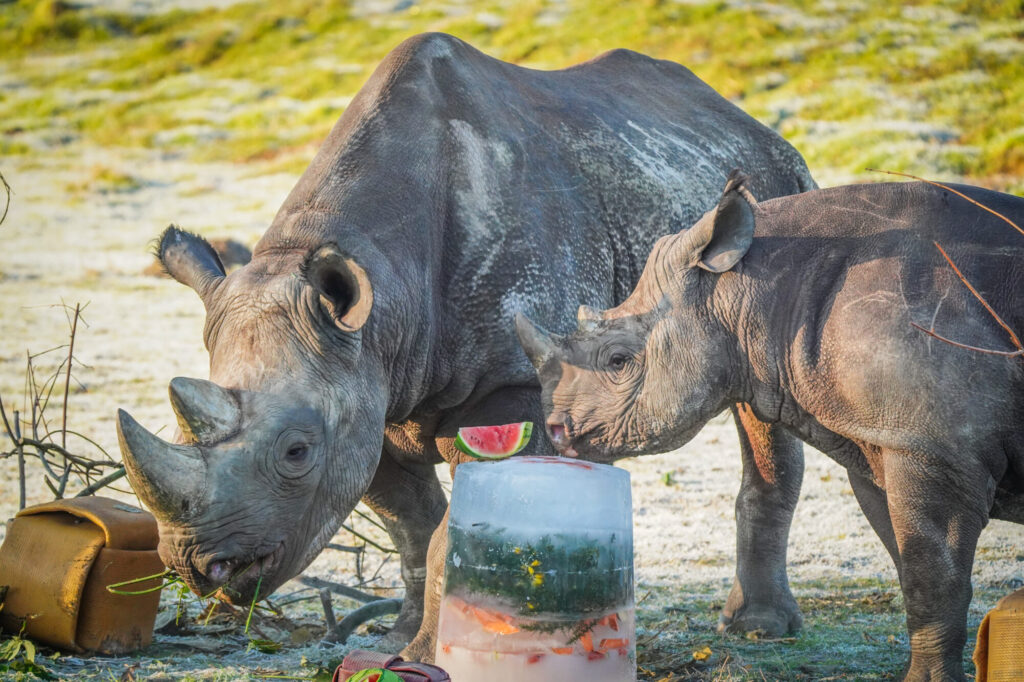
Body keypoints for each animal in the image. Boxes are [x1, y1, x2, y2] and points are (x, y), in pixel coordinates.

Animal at [115, 32, 816, 655]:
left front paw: (426, 650)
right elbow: (413, 527)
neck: (382, 301)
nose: (199, 566)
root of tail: (750, 125)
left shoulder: (513, 381)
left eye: (295, 452)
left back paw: (758, 630)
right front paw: (397, 640)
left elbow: (449, 530)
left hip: (771, 205)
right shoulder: (368, 390)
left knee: (762, 406)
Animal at [516, 172, 1024, 681]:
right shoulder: (887, 438)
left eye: (619, 361)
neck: (751, 288)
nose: (556, 429)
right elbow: (914, 567)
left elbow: (933, 578)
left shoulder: (934, 448)